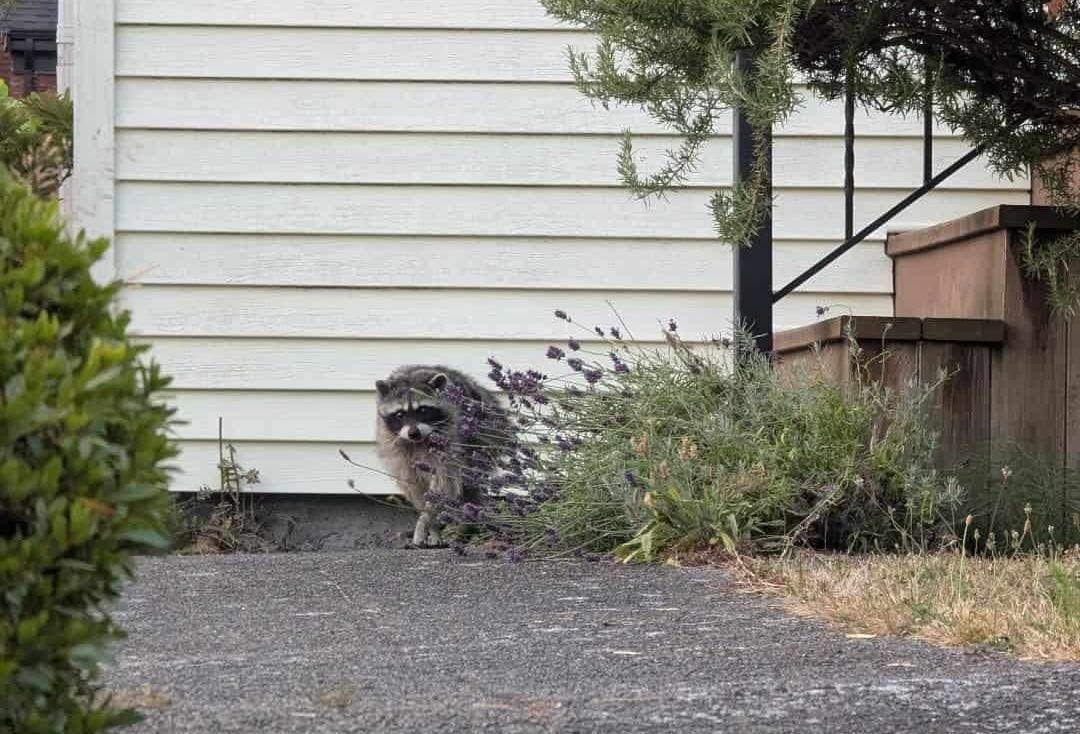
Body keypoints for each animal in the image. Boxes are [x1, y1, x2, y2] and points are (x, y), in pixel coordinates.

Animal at [374, 365, 511, 547]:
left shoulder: (451, 444)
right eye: (399, 414)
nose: (413, 433)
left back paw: (466, 526)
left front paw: (425, 520)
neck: (420, 441)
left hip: (482, 441)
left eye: (423, 410)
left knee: (468, 488)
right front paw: (430, 525)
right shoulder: (397, 449)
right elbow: (416, 488)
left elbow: (443, 484)